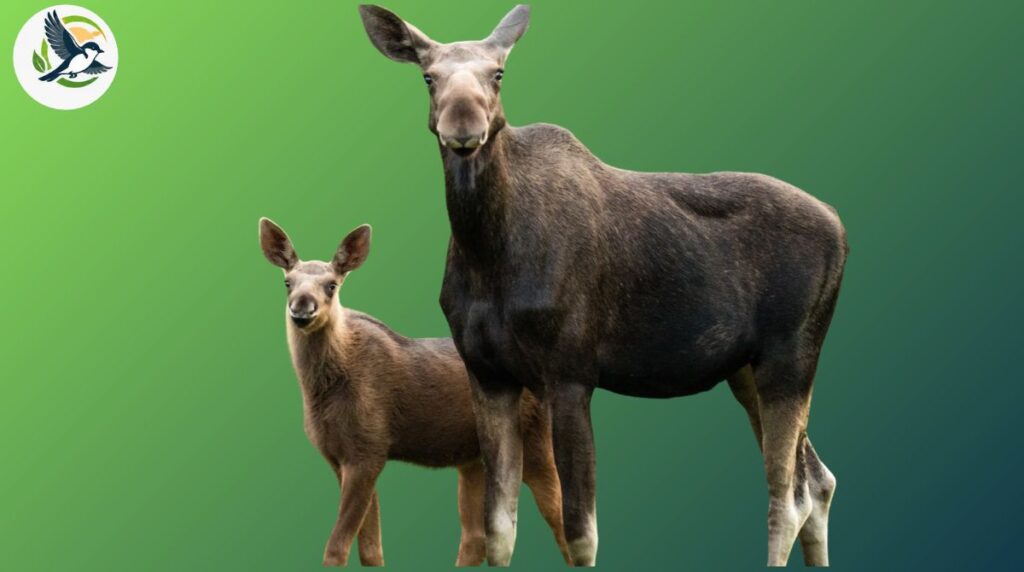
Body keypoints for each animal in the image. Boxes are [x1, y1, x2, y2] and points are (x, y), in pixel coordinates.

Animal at [258, 218, 571, 567]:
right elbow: (370, 547)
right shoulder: (339, 457)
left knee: (560, 520)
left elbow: (337, 548)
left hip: (534, 441)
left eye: (331, 285)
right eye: (287, 282)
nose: (301, 309)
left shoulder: (368, 451)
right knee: (476, 537)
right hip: (472, 458)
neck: (319, 391)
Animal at [358, 4, 848, 567]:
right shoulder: (488, 375)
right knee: (818, 481)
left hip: (791, 357)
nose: (463, 125)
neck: (487, 253)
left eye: (498, 74)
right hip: (746, 370)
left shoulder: (570, 373)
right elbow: (499, 528)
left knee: (787, 497)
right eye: (428, 76)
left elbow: (580, 532)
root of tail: (840, 225)